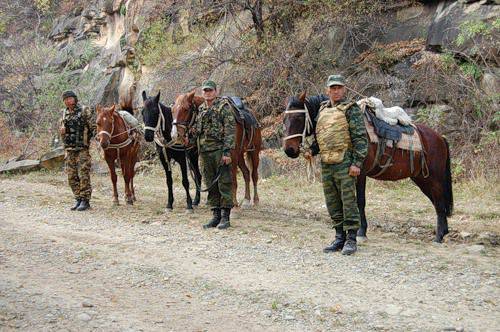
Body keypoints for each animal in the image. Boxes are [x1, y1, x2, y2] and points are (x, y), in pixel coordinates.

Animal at [282, 92, 454, 243]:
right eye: (284, 119)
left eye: (298, 117)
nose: (289, 150)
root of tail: (440, 138)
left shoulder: (360, 173)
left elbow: (360, 201)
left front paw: (361, 231)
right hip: (422, 179)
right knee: (437, 202)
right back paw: (444, 232)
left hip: (434, 178)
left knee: (439, 203)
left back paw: (439, 237)